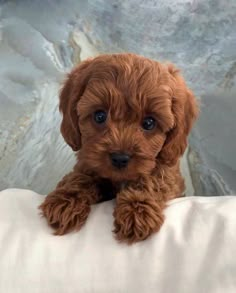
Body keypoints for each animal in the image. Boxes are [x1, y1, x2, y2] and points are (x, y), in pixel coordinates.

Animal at [39, 53, 198, 243]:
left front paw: (137, 211)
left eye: (149, 123)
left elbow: (152, 179)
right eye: (99, 116)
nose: (120, 158)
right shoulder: (87, 161)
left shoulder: (167, 170)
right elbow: (81, 176)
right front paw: (67, 200)